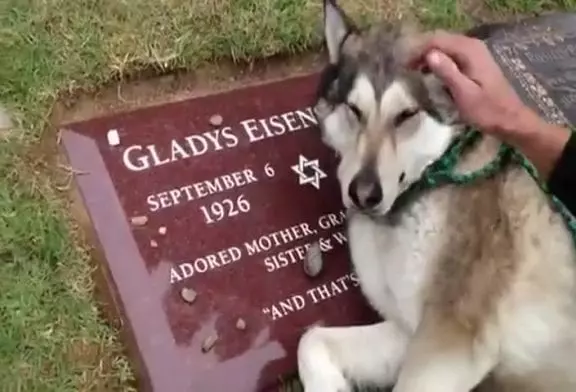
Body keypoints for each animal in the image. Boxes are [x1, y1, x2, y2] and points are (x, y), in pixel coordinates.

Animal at [296, 1, 576, 390]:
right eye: (354, 110)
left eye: (406, 115)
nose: (364, 194)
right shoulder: (407, 331)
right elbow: (310, 339)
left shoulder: (447, 341)